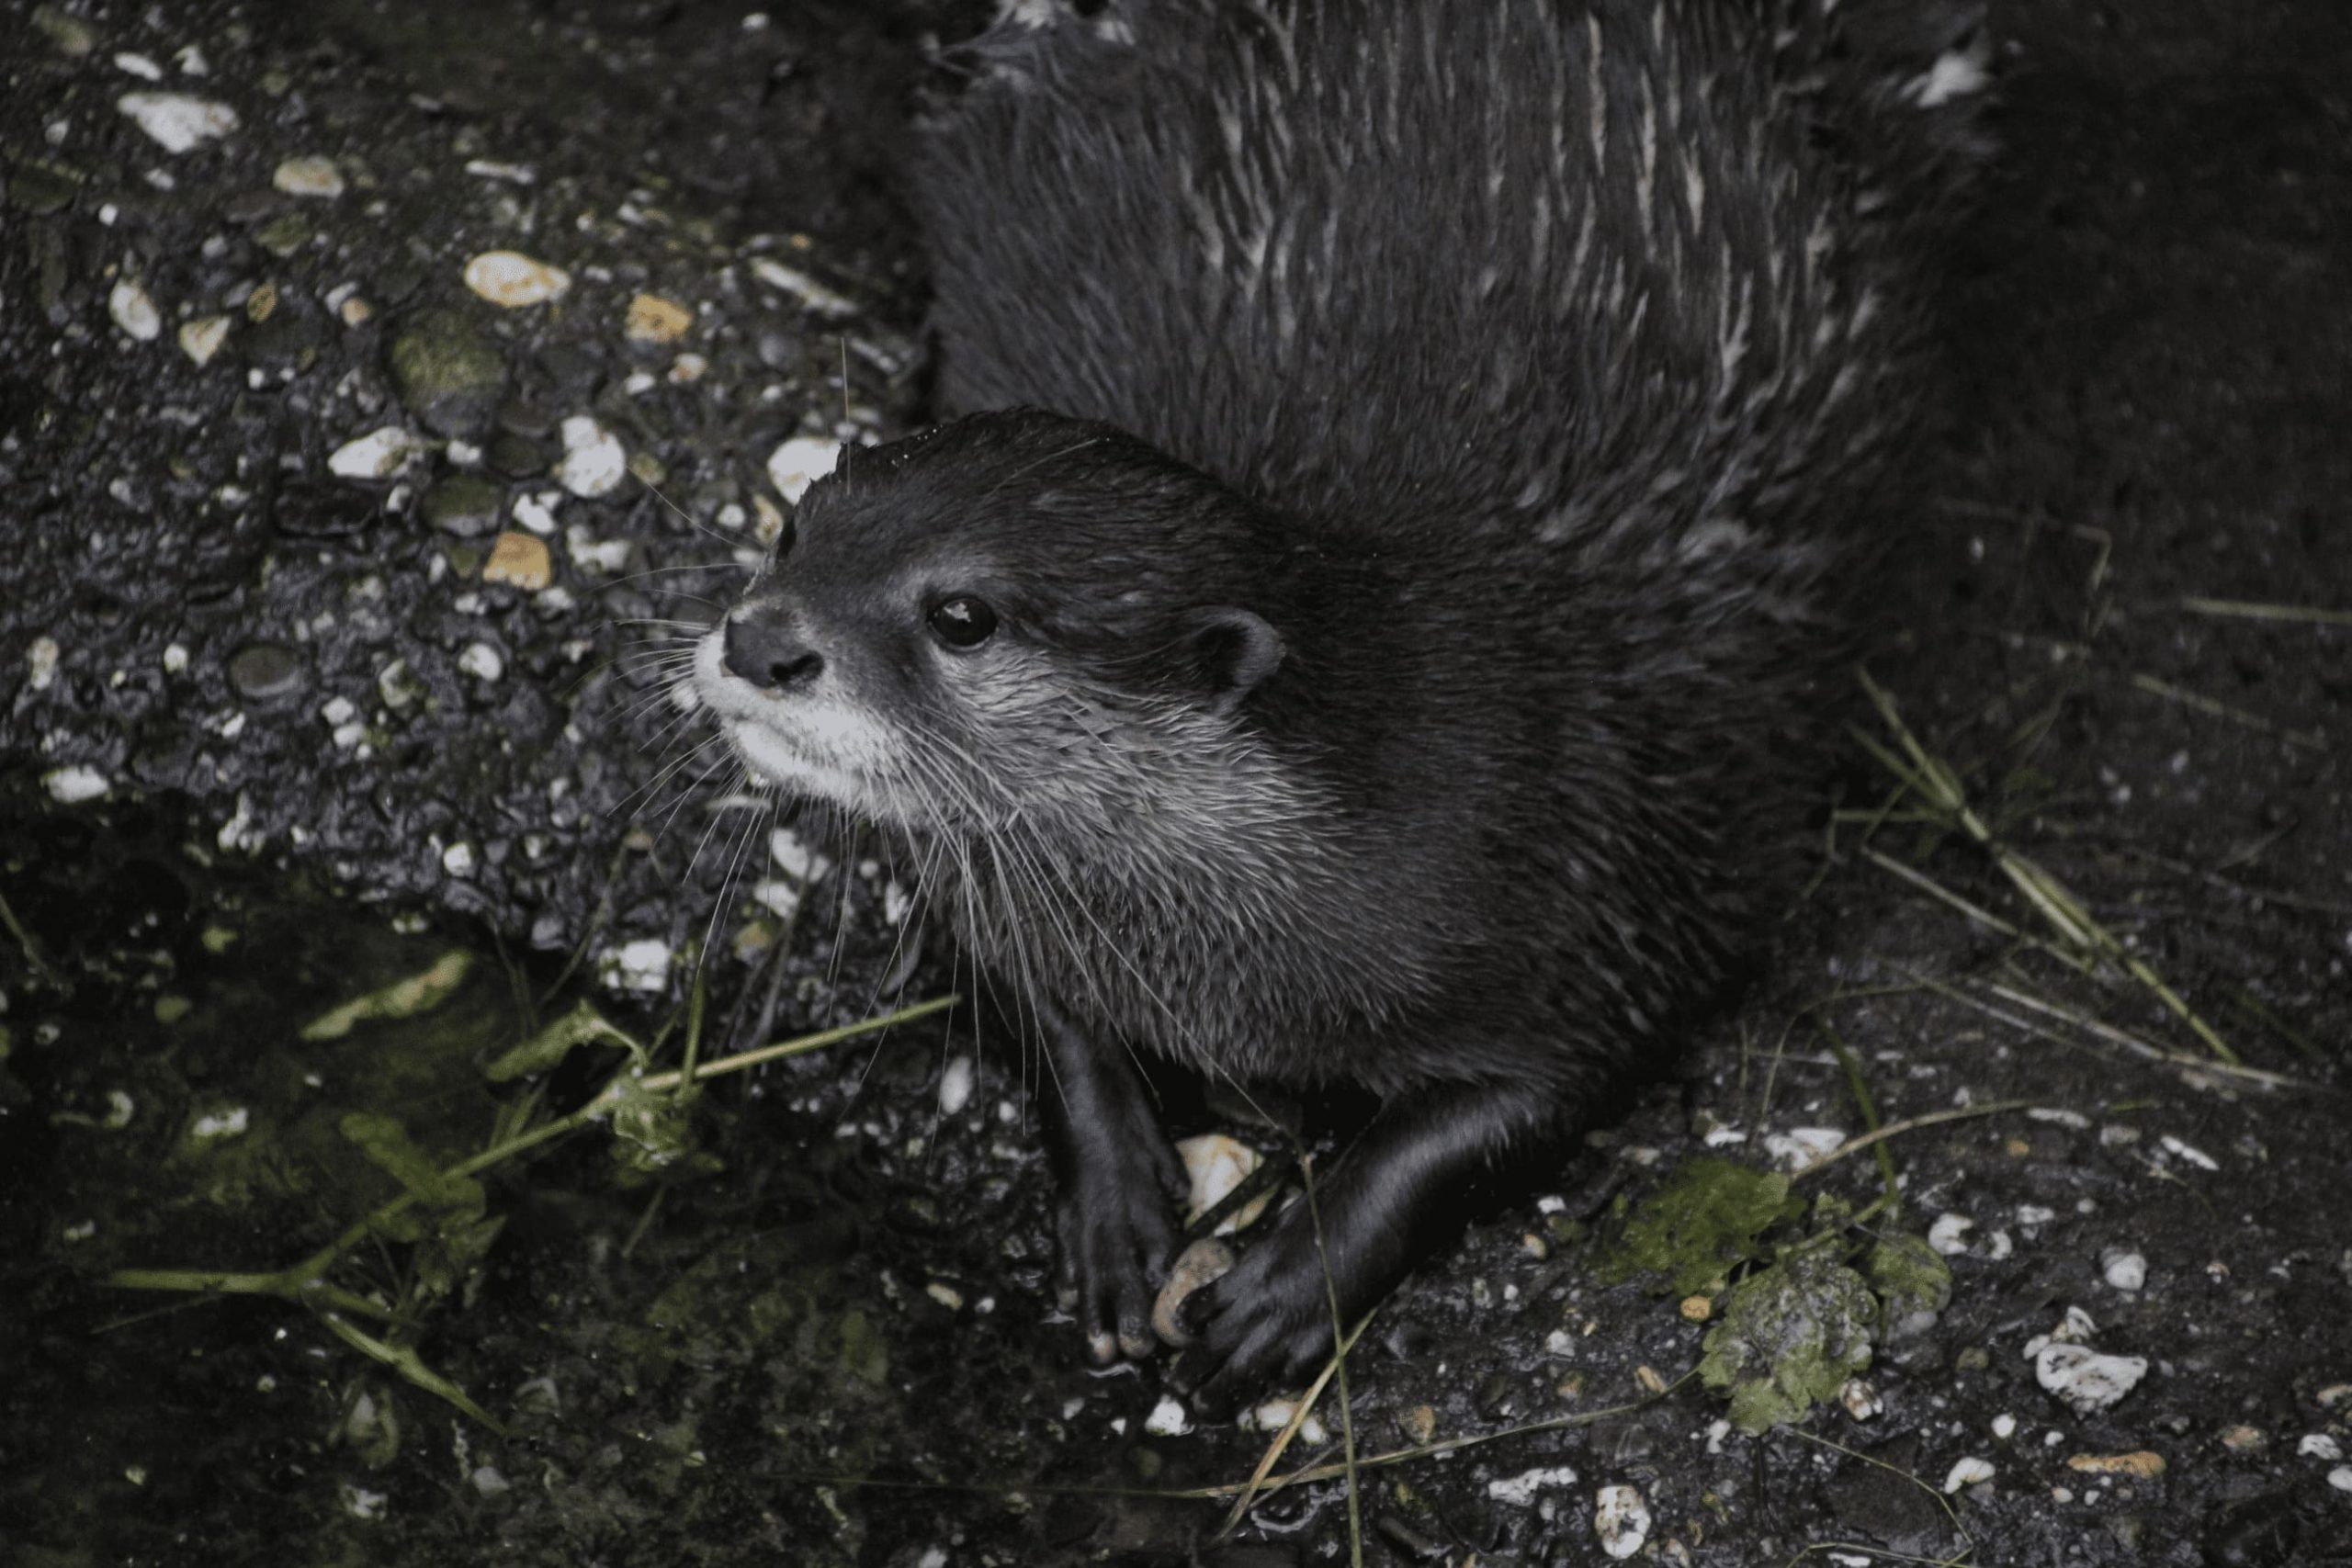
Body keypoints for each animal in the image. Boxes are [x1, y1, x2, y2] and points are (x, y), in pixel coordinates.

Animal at [692, 0, 1987, 1410]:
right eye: (796, 522)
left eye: (961, 614)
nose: (760, 637)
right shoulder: (991, 884)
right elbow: (1036, 1003)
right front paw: (1116, 1207)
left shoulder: (1609, 904)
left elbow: (1496, 1114)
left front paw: (1289, 1285)